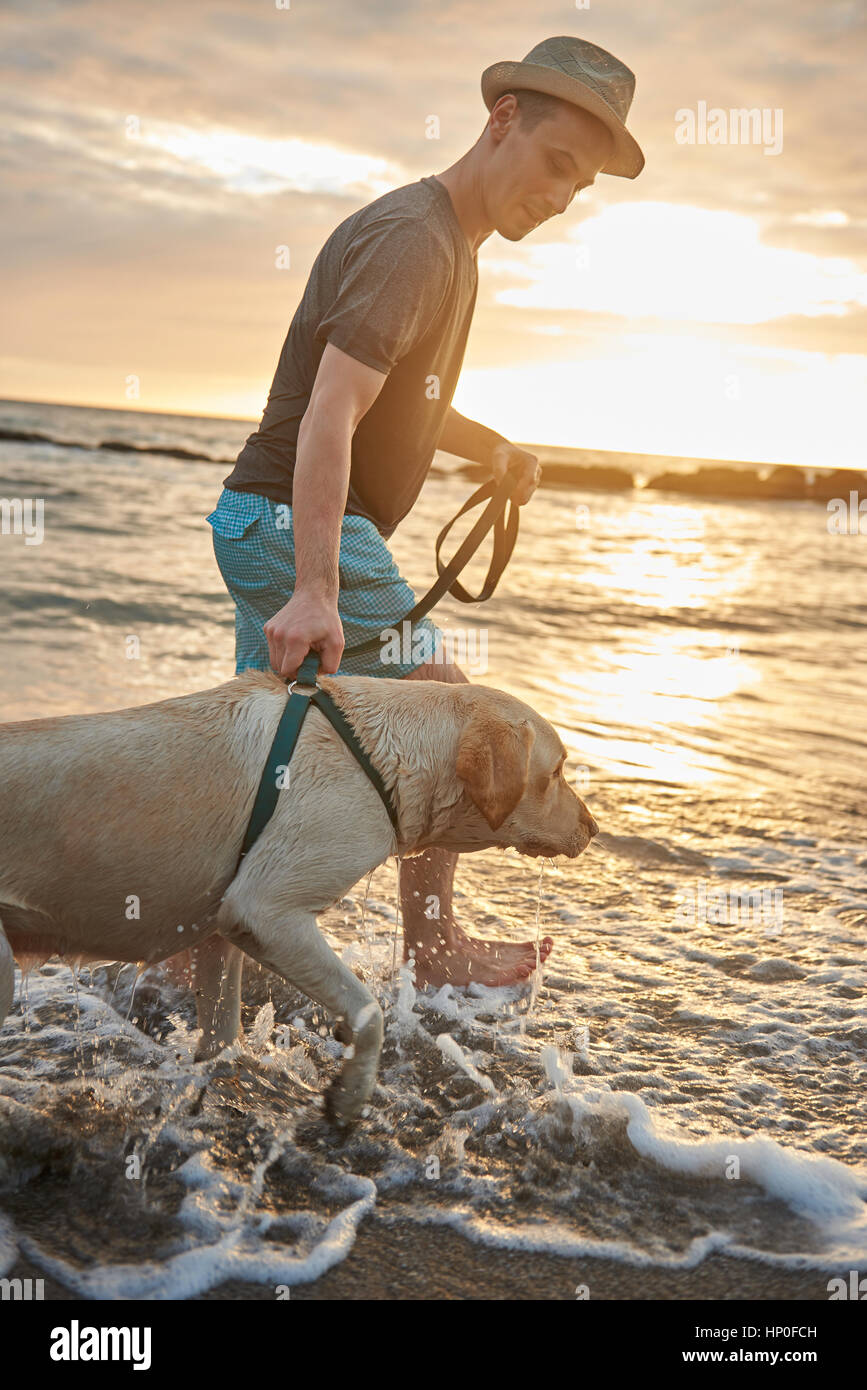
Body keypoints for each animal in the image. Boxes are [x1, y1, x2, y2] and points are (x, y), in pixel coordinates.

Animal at [0, 669, 594, 1117]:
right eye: (558, 771)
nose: (593, 827)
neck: (378, 757)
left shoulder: (220, 922)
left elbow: (223, 1032)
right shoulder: (266, 911)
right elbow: (368, 1012)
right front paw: (350, 1095)